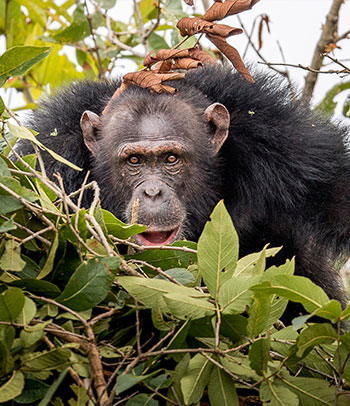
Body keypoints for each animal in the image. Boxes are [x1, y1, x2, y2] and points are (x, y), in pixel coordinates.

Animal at [17, 66, 348, 308]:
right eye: (134, 160)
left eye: (171, 158)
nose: (152, 192)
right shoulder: (47, 157)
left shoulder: (292, 148)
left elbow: (339, 199)